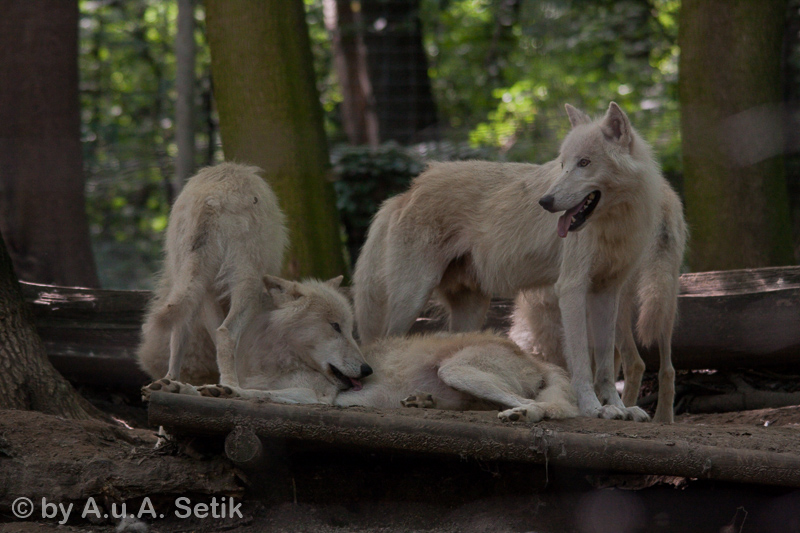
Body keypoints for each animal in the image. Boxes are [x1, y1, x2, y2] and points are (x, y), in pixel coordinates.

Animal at [138, 162, 294, 390]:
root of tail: (210, 198)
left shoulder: (207, 294)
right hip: (247, 284)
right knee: (225, 332)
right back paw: (231, 386)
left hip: (196, 283)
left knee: (183, 332)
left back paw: (170, 381)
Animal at [147, 274, 580, 424]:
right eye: (335, 327)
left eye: (351, 329)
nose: (369, 371)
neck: (281, 358)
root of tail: (535, 358)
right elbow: (221, 385)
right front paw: (177, 385)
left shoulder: (317, 397)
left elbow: (254, 393)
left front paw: (224, 391)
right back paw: (420, 401)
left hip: (457, 370)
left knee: (549, 407)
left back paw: (524, 413)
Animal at [506, 181, 688, 422]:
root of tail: (664, 204)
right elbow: (602, 363)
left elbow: (585, 362)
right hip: (664, 304)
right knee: (667, 368)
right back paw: (663, 417)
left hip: (621, 309)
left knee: (636, 363)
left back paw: (630, 408)